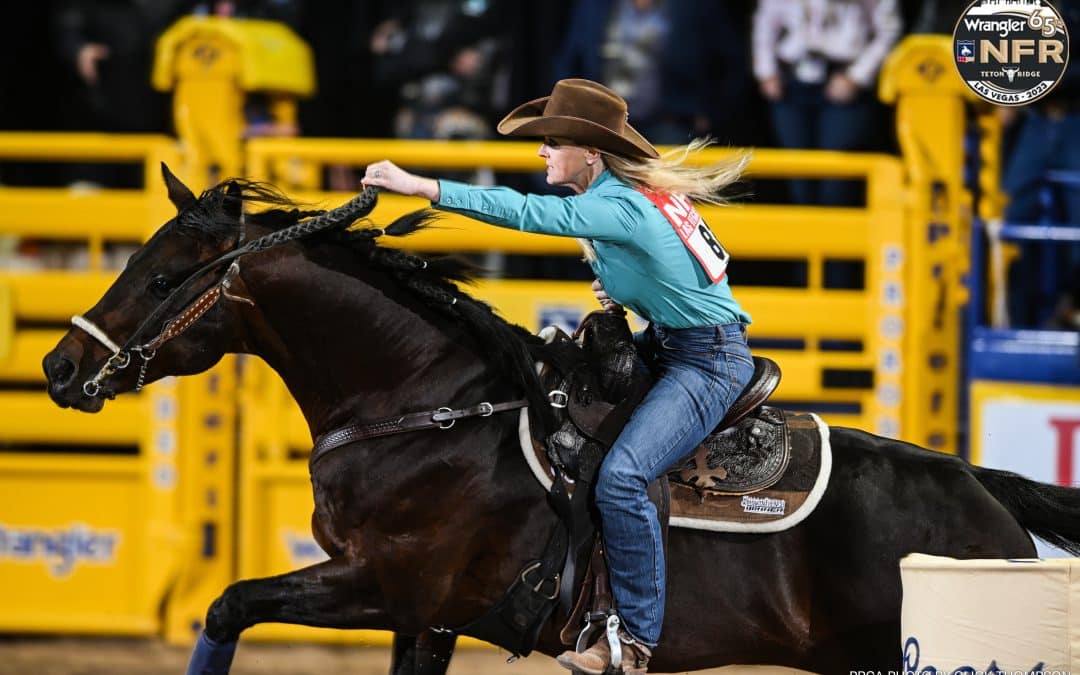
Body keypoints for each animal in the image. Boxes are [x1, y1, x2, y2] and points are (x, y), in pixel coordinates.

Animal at [46, 166, 1080, 669]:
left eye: (164, 277)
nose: (60, 365)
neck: (430, 410)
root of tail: (982, 485)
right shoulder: (428, 621)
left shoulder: (383, 584)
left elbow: (227, 602)